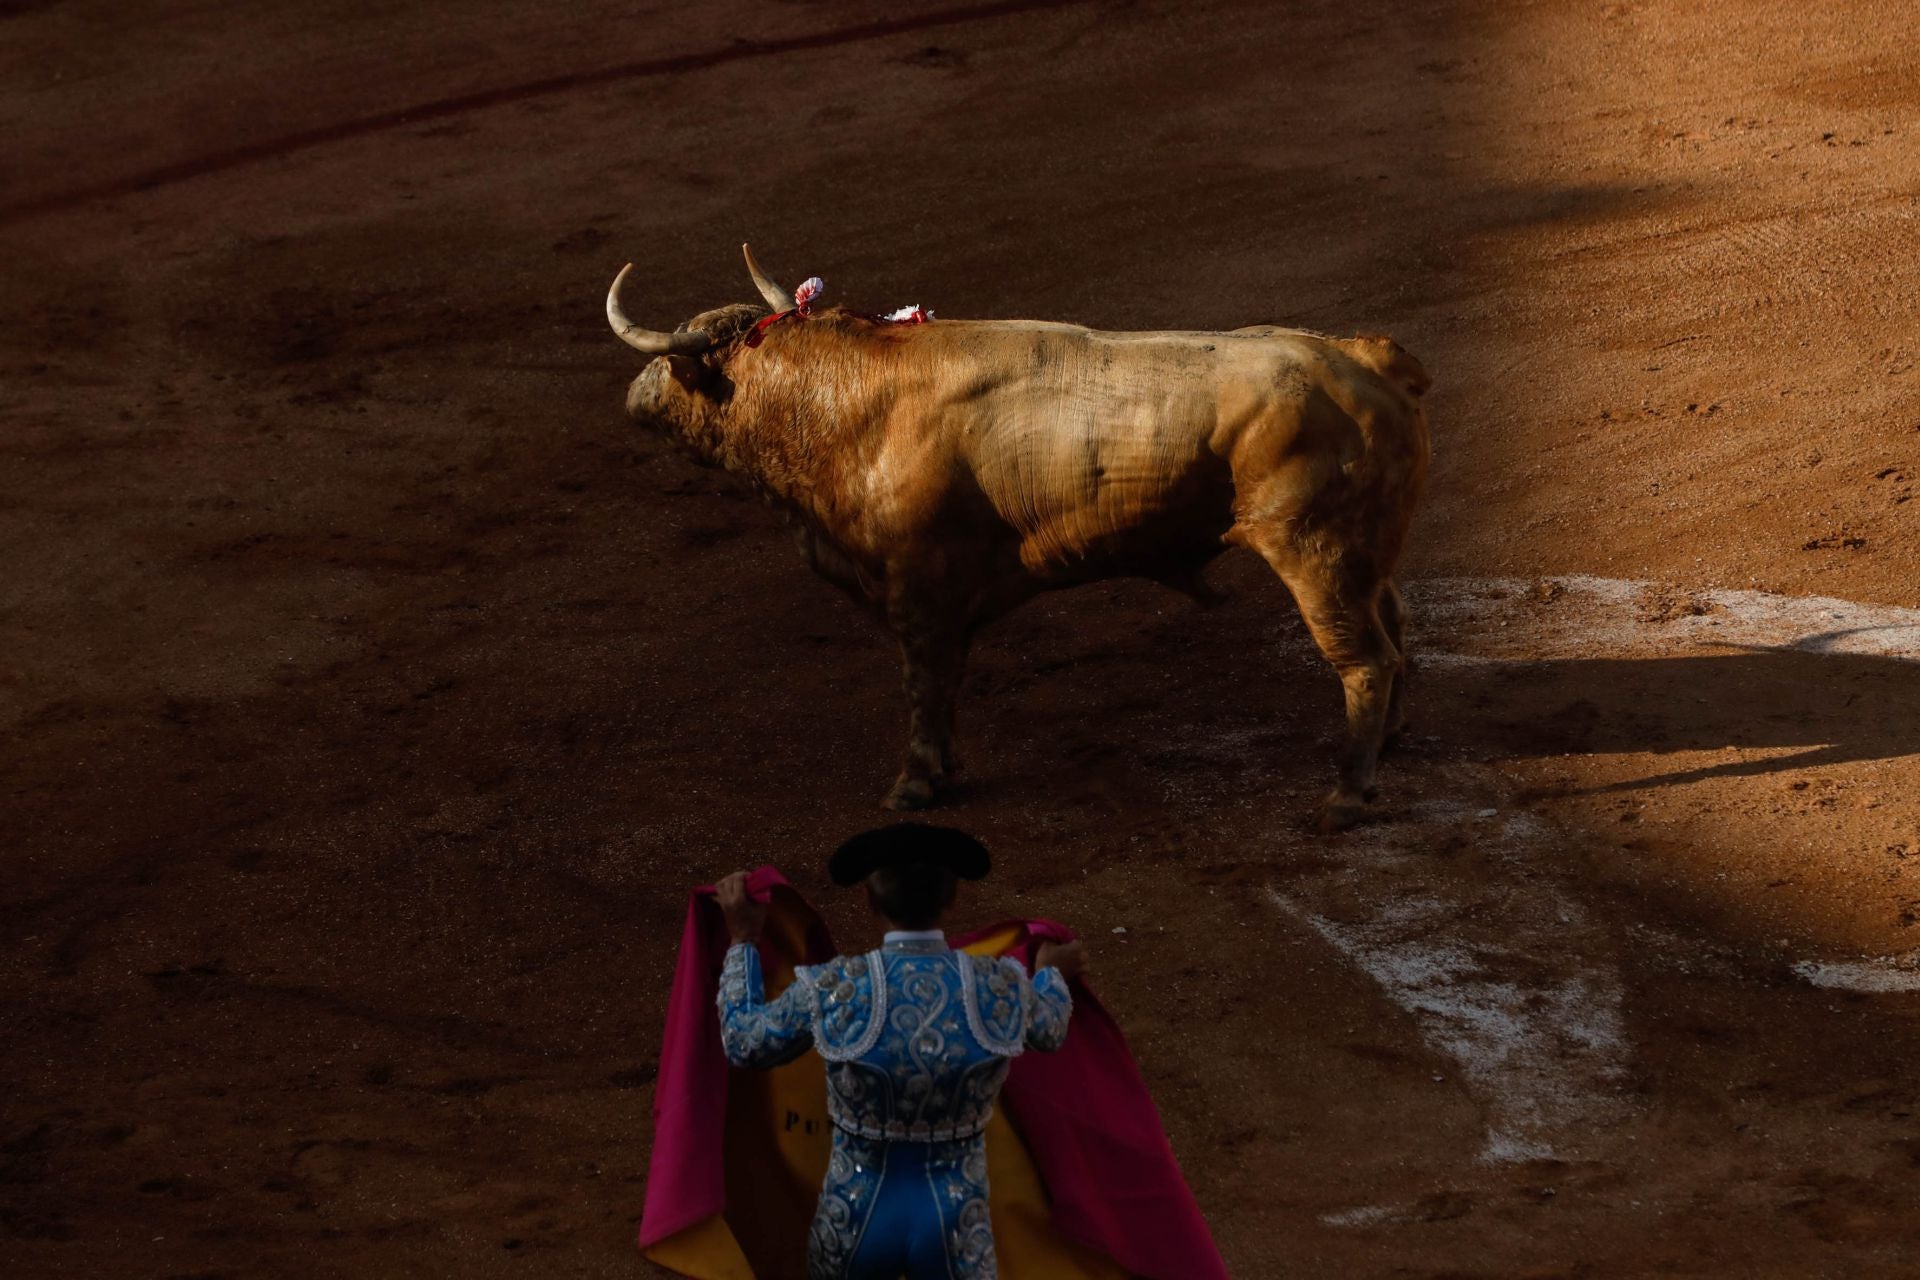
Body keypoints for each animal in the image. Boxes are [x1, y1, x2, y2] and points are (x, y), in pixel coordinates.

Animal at [602, 247, 1428, 832]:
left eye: (675, 363)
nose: (634, 393)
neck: (841, 403)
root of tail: (1363, 356)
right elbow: (946, 681)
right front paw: (945, 769)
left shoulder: (916, 588)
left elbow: (924, 683)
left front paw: (914, 784)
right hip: (1364, 555)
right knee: (1395, 633)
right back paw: (1390, 742)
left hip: (1314, 553)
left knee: (1362, 658)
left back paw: (1346, 795)